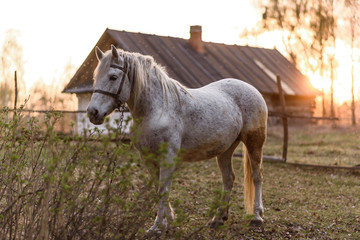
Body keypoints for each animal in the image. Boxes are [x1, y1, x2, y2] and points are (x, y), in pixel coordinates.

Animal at [86, 45, 268, 232]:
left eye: (113, 77)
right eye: (96, 77)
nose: (93, 113)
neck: (158, 109)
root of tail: (252, 89)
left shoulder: (168, 156)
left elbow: (163, 189)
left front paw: (157, 227)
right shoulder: (148, 158)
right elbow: (159, 188)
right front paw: (169, 220)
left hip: (254, 142)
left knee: (257, 176)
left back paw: (257, 217)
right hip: (225, 149)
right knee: (228, 179)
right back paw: (218, 219)